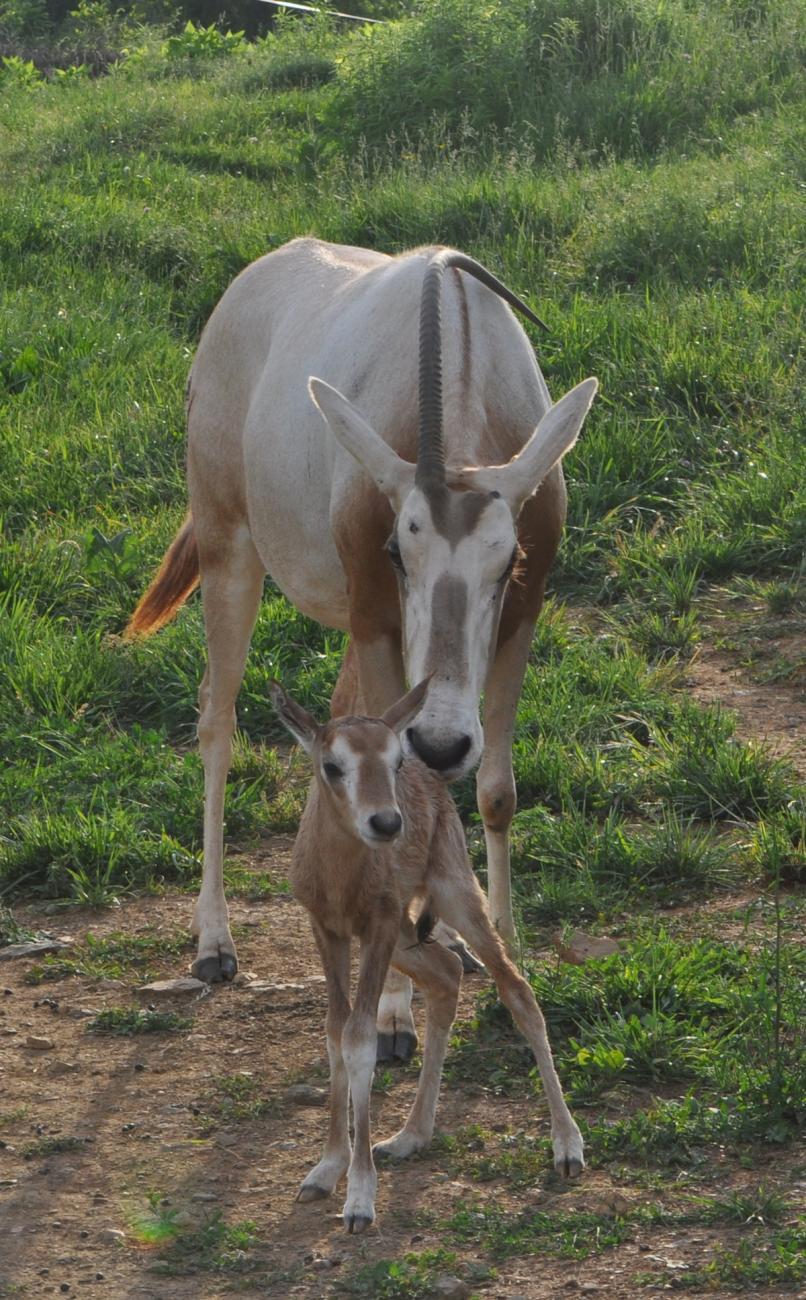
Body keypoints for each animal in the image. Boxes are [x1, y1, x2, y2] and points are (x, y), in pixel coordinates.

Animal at [269, 676, 579, 1232]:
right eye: (332, 765)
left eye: (393, 761)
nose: (387, 823)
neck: (340, 877)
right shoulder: (329, 931)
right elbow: (334, 1032)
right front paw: (326, 1169)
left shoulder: (377, 927)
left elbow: (360, 1038)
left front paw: (359, 1199)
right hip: (406, 940)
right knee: (448, 973)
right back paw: (411, 1136)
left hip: (453, 899)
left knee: (515, 987)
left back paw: (567, 1146)